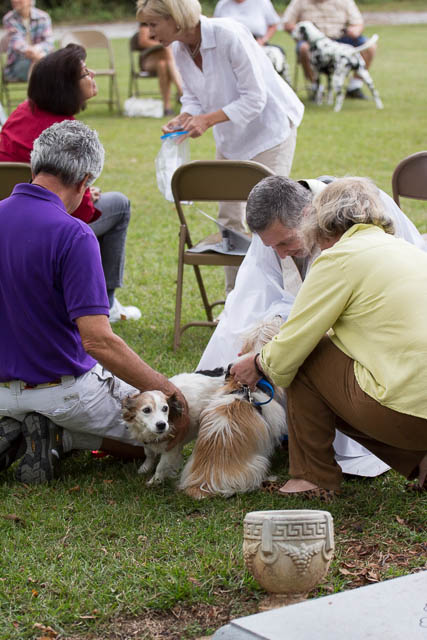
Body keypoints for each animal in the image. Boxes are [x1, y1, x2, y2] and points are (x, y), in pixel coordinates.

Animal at [123, 318, 288, 496]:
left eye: (165, 409)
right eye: (146, 410)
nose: (280, 314)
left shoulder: (171, 448)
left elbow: (161, 466)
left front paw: (154, 481)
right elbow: (150, 454)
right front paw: (146, 470)